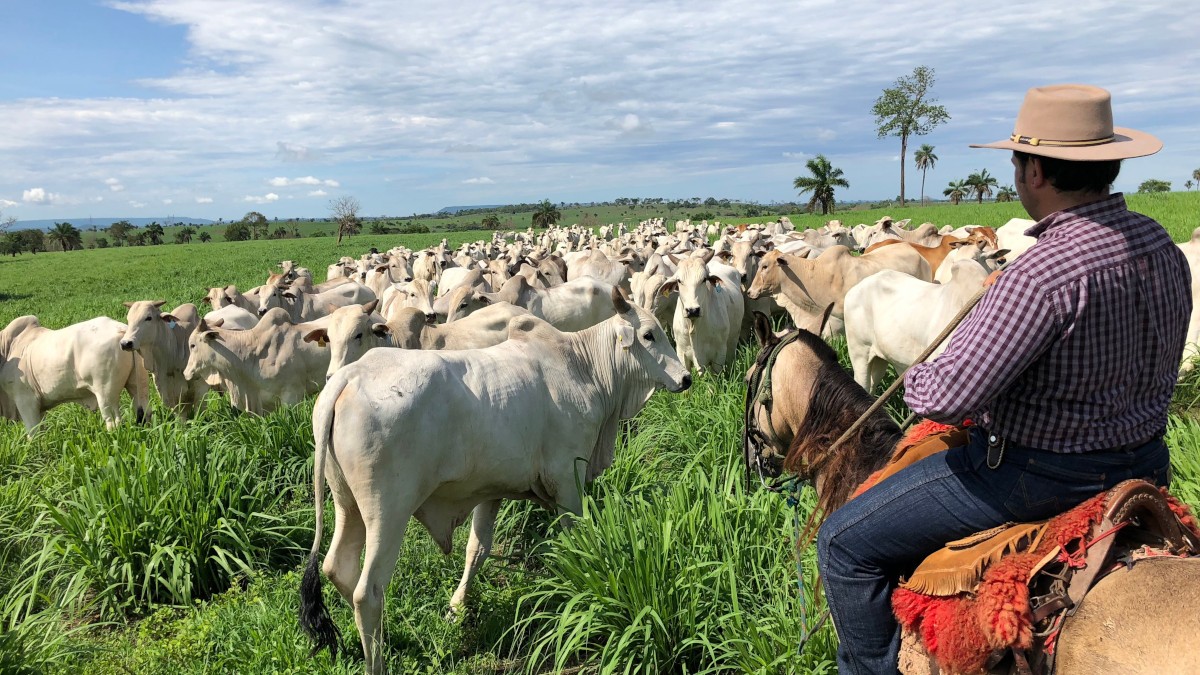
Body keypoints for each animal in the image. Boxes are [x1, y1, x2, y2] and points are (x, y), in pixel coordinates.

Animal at [0, 314, 150, 432]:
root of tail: (122, 330)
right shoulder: (39, 409)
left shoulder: (25, 401)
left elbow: (33, 433)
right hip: (138, 386)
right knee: (145, 412)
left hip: (106, 393)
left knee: (114, 421)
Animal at [300, 290, 696, 672]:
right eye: (649, 335)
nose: (686, 379)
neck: (584, 366)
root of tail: (346, 379)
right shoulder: (568, 479)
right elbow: (576, 540)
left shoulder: (491, 491)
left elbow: (477, 550)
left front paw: (456, 609)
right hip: (388, 512)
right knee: (367, 591)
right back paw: (378, 661)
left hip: (347, 505)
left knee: (337, 568)